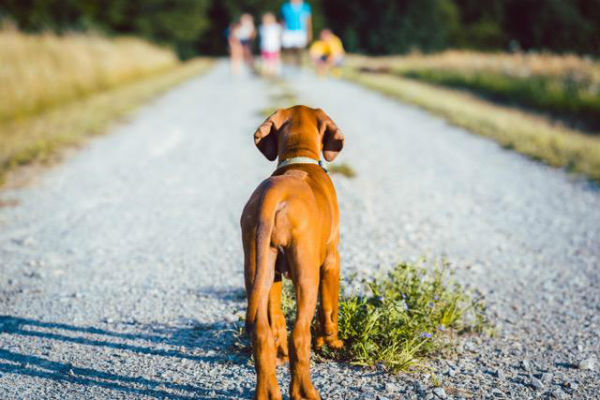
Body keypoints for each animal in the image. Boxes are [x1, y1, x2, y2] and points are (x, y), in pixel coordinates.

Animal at [241, 106, 344, 400]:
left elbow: (275, 319)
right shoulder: (331, 260)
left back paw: (267, 391)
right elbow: (329, 308)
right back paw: (305, 391)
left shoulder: (274, 274)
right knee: (299, 334)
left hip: (256, 266)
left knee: (261, 333)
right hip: (306, 273)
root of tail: (273, 195)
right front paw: (332, 341)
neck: (300, 160)